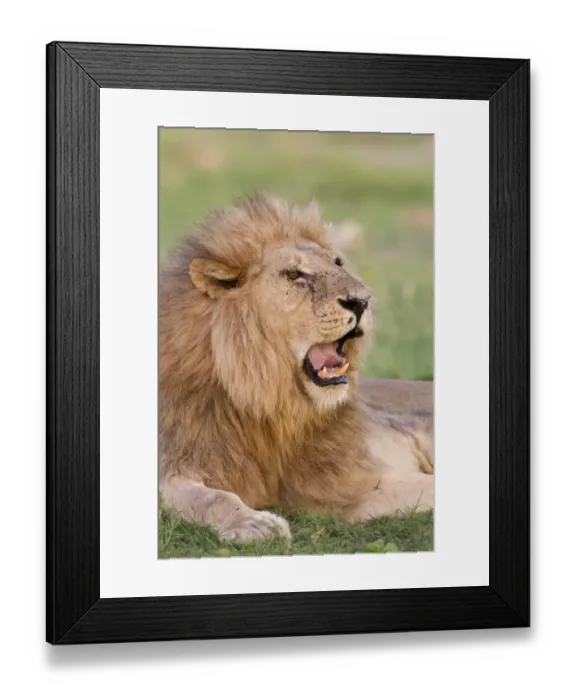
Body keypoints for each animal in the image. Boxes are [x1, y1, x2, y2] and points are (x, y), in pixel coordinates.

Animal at [159, 192, 434, 542]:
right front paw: (254, 523)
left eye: (338, 263)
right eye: (294, 275)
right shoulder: (176, 461)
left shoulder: (345, 481)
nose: (362, 300)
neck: (272, 406)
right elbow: (209, 498)